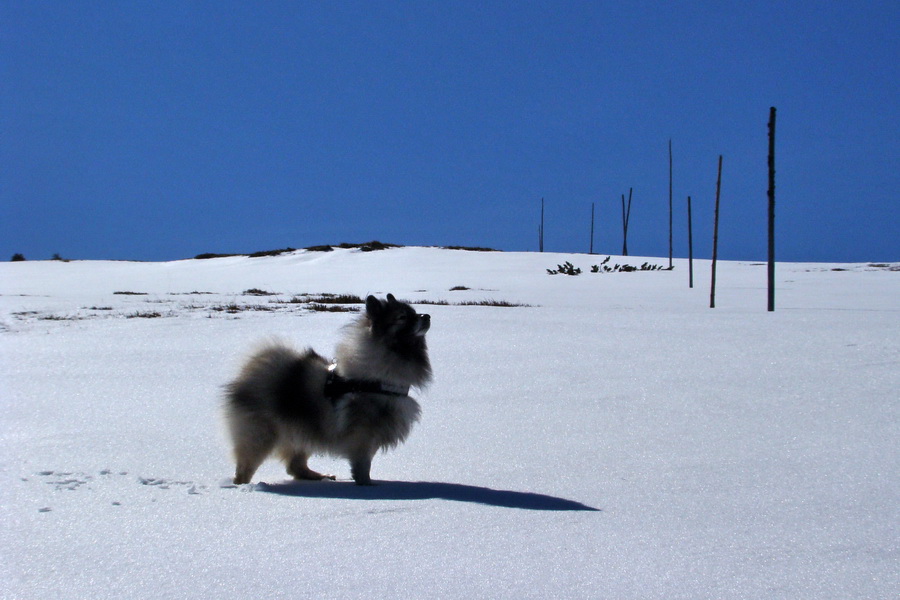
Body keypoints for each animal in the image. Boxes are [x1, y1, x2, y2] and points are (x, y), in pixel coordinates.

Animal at [229, 292, 432, 486]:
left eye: (414, 312)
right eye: (402, 317)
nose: (427, 316)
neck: (377, 379)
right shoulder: (363, 436)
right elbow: (363, 464)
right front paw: (366, 485)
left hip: (302, 431)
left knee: (295, 466)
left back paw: (317, 476)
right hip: (262, 436)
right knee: (245, 468)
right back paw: (242, 487)